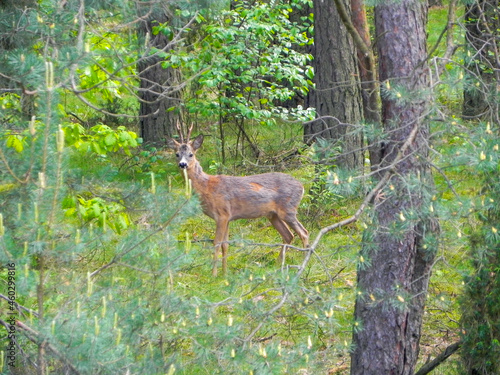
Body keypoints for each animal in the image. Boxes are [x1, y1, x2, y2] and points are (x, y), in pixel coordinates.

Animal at [168, 132, 308, 276]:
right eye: (177, 154)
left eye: (191, 154)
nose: (182, 164)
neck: (207, 187)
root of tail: (302, 186)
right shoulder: (228, 217)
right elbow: (225, 244)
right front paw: (224, 273)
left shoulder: (222, 214)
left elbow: (217, 242)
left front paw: (214, 274)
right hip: (273, 215)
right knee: (288, 235)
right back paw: (278, 265)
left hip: (288, 209)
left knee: (304, 233)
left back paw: (303, 266)